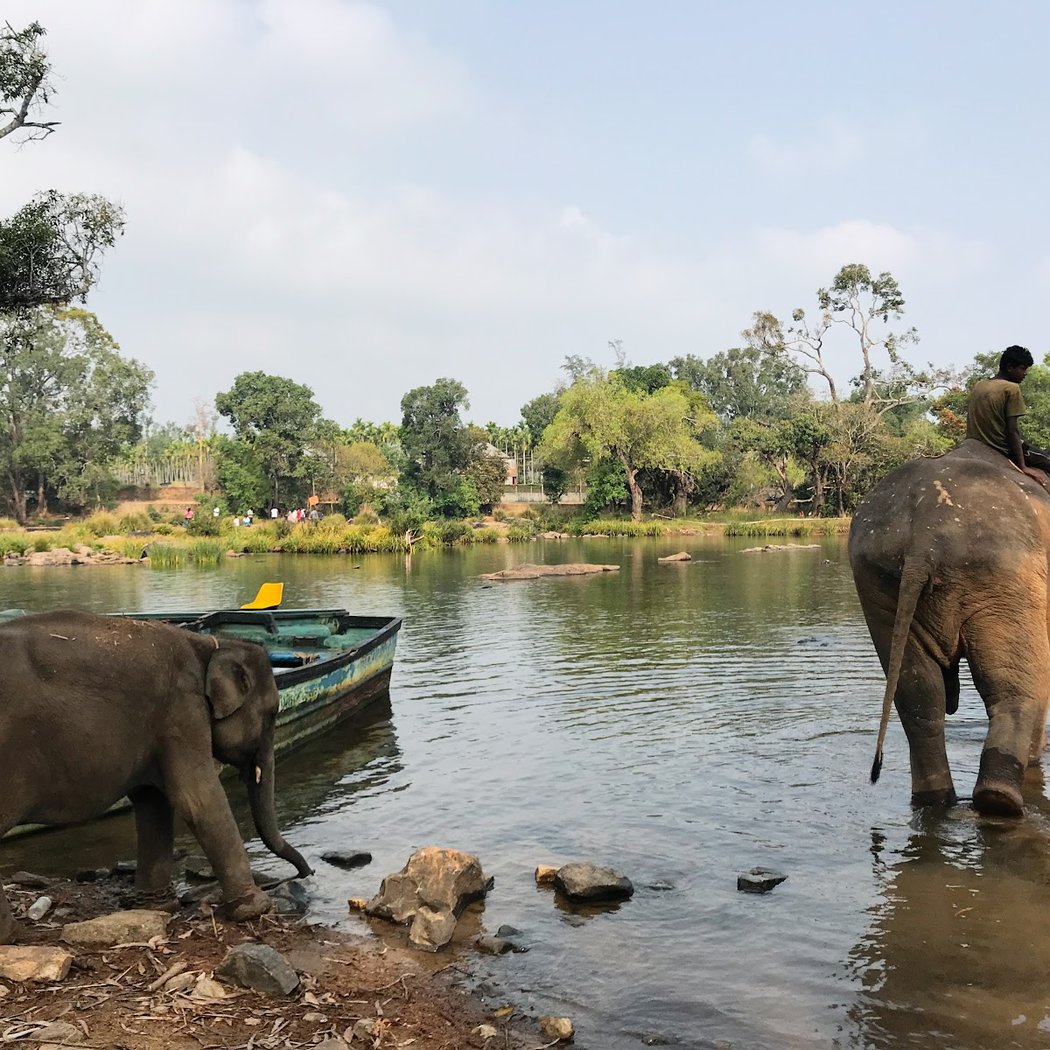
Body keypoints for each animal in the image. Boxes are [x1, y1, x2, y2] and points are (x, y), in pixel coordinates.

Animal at [0, 609, 313, 944]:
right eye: (272, 714)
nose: (306, 873)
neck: (210, 645)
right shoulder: (182, 712)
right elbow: (196, 799)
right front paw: (255, 909)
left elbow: (153, 802)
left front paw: (156, 906)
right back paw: (14, 935)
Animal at [849, 438, 1050, 817]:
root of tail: (923, 536)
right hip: (1003, 576)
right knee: (1011, 687)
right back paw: (998, 801)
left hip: (877, 584)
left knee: (919, 697)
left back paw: (936, 801)